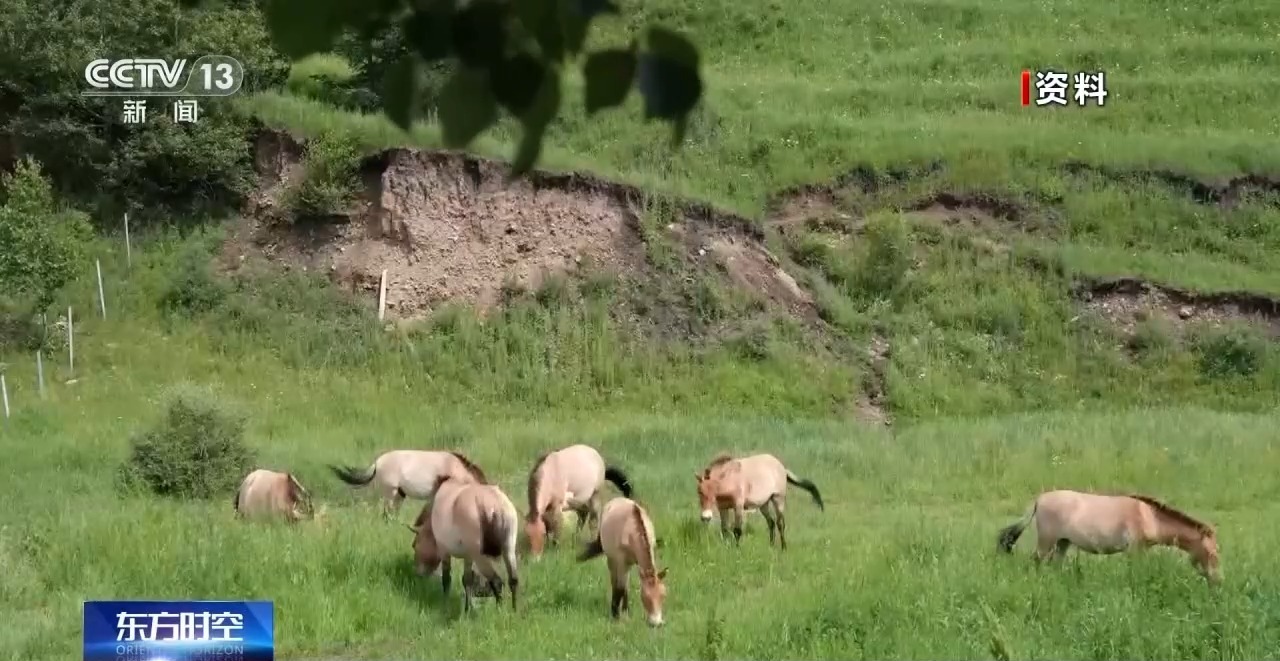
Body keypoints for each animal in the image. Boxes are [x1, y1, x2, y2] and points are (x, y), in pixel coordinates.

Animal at [407, 474, 521, 613]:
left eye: (414, 545)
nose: (418, 574)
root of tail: (495, 506)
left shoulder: (444, 551)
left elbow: (446, 579)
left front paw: (446, 605)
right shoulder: (468, 557)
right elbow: (467, 580)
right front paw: (467, 609)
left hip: (480, 556)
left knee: (497, 582)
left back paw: (500, 611)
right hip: (508, 548)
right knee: (513, 580)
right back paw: (514, 611)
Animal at [578, 497, 668, 627]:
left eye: (663, 595)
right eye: (645, 597)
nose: (656, 623)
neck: (631, 530)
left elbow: (626, 586)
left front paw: (625, 612)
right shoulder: (621, 562)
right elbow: (620, 587)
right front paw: (616, 615)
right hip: (612, 561)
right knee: (616, 582)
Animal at [694, 452, 824, 549]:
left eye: (713, 490)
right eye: (699, 491)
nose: (705, 517)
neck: (729, 479)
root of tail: (782, 467)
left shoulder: (738, 506)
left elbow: (737, 530)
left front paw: (737, 549)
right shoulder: (723, 508)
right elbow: (725, 529)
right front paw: (726, 548)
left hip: (778, 500)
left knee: (780, 524)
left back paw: (783, 548)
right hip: (763, 505)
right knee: (771, 523)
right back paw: (771, 546)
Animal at [996, 489, 1221, 585]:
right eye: (1212, 553)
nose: (1217, 581)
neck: (1149, 517)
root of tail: (1038, 500)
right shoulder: (1135, 550)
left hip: (1062, 543)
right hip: (1047, 541)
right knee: (1035, 562)